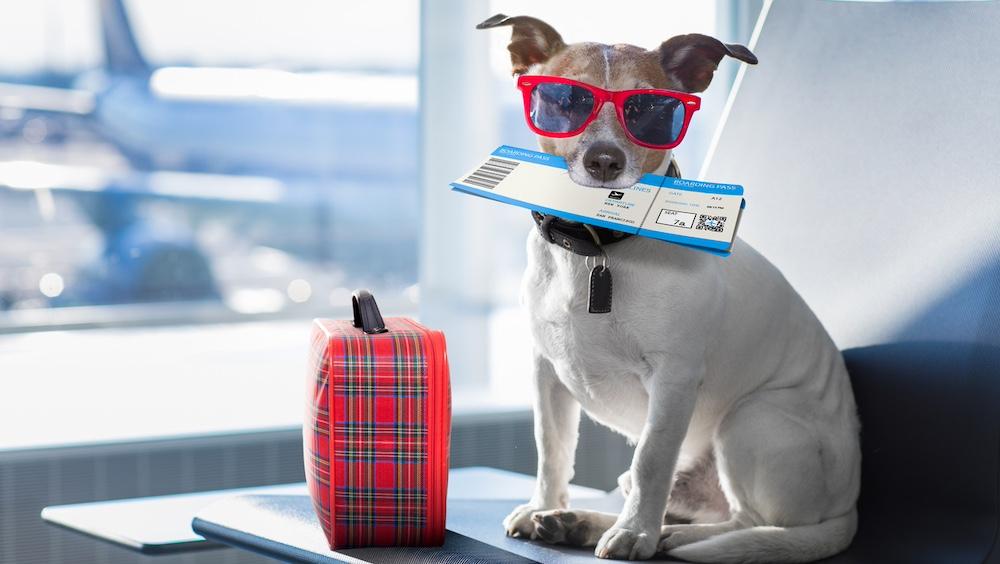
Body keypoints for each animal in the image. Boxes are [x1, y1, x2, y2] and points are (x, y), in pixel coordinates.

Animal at [476, 13, 860, 564]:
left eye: (652, 109)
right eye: (565, 100)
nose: (604, 160)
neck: (596, 248)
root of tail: (848, 506)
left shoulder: (673, 380)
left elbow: (651, 460)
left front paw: (636, 534)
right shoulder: (546, 373)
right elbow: (551, 450)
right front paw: (544, 505)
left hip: (752, 418)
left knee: (744, 521)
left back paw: (666, 537)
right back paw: (579, 522)